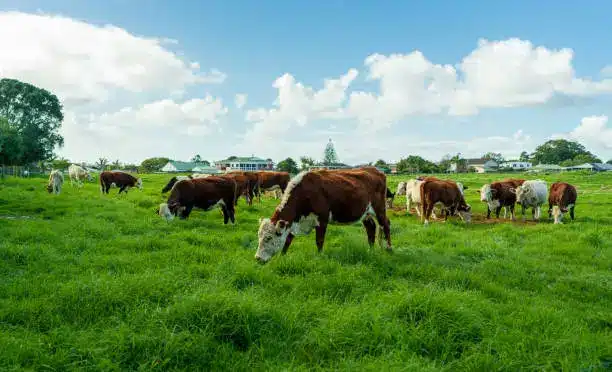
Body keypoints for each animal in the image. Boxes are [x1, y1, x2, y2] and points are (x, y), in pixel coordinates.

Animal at [255, 166, 392, 264]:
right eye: (259, 236)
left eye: (268, 238)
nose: (257, 258)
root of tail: (376, 170)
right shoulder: (294, 221)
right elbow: (288, 240)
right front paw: (282, 257)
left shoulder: (322, 219)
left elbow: (319, 241)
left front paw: (319, 257)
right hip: (365, 212)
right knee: (371, 227)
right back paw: (371, 249)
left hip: (379, 208)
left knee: (385, 224)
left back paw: (389, 248)